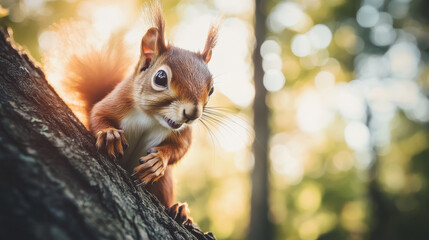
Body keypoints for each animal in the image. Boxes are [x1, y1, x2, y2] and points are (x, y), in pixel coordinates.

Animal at [45, 5, 219, 225]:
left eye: (211, 89)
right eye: (160, 78)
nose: (192, 114)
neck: (152, 117)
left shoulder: (183, 132)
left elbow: (180, 148)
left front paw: (158, 161)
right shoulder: (116, 101)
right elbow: (97, 115)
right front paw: (109, 135)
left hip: (164, 182)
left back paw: (179, 209)